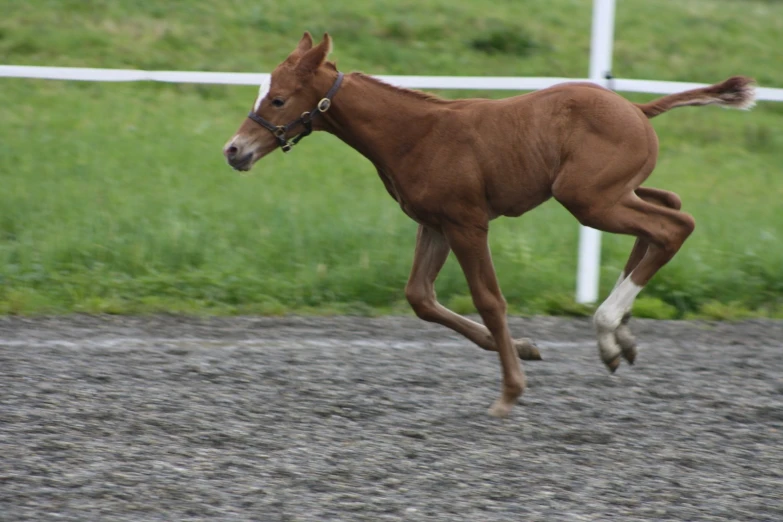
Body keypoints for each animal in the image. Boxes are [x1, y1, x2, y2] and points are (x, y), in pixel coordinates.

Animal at [224, 31, 756, 414]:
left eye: (278, 100)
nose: (234, 150)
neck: (416, 134)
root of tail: (636, 107)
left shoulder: (467, 223)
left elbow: (489, 300)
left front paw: (510, 391)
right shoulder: (434, 224)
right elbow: (420, 297)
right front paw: (527, 348)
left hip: (588, 200)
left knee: (672, 226)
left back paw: (607, 327)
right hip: (611, 192)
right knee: (668, 207)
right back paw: (619, 336)